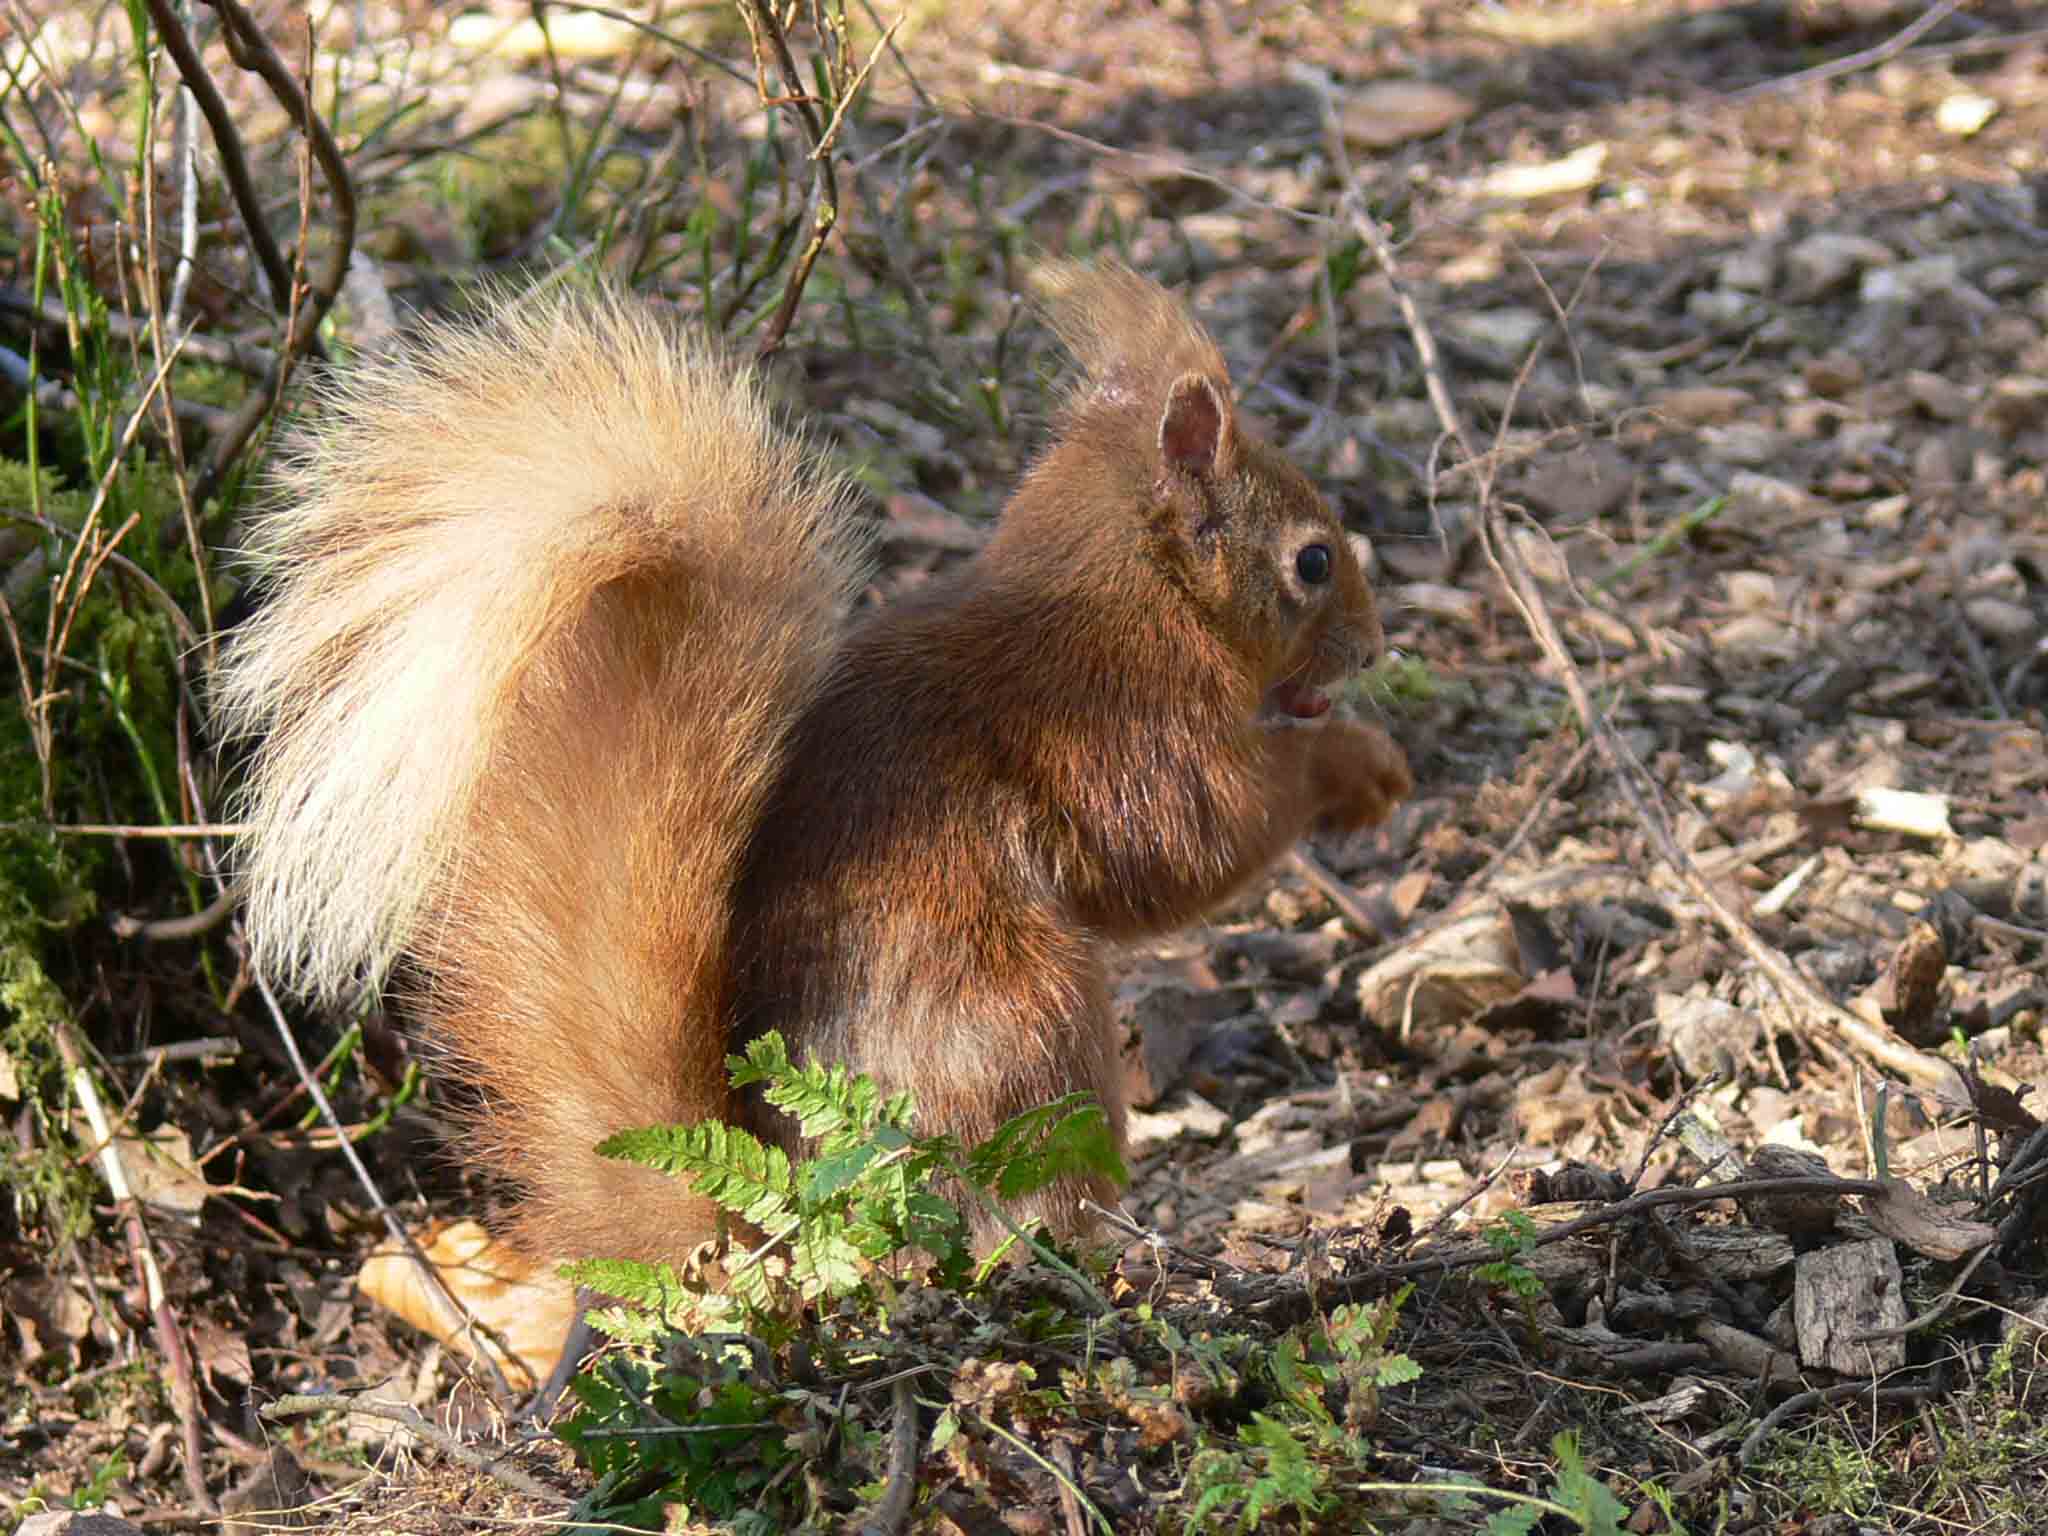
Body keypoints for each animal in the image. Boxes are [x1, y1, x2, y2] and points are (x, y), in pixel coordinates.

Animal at [214, 262, 1413, 1274]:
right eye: (1312, 561)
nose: (1371, 648)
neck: (1124, 598)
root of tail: (785, 1232)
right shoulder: (1124, 732)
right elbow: (1193, 847)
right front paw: (1359, 767)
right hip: (1027, 1037)